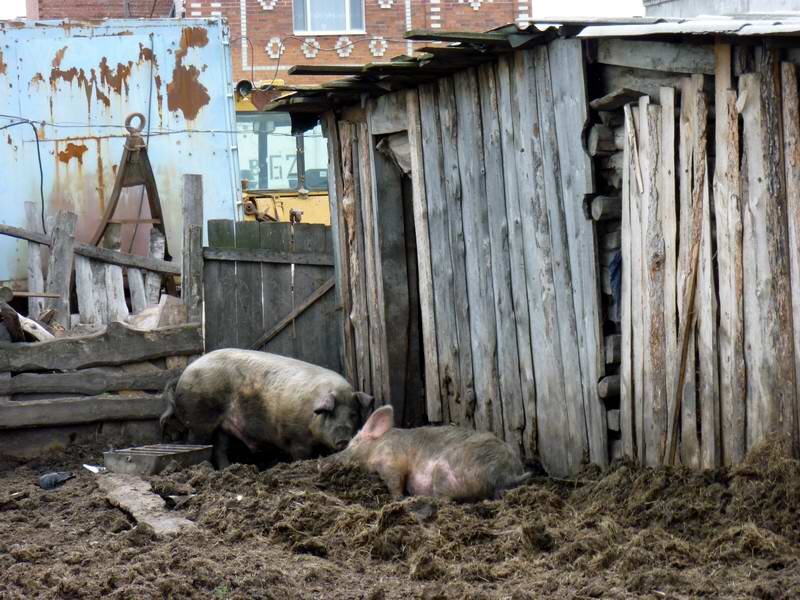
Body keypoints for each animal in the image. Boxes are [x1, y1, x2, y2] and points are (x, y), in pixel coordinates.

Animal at [163, 346, 378, 468]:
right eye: (330, 414)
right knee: (196, 443)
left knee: (220, 448)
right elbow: (301, 456)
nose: (343, 440)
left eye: (353, 414)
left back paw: (228, 469)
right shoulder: (296, 439)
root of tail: (186, 371)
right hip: (199, 419)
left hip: (223, 426)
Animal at [332, 406, 532, 500]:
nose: (329, 458)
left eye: (353, 442)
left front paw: (398, 498)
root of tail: (507, 476)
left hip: (444, 474)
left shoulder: (390, 458)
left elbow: (395, 481)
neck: (376, 446)